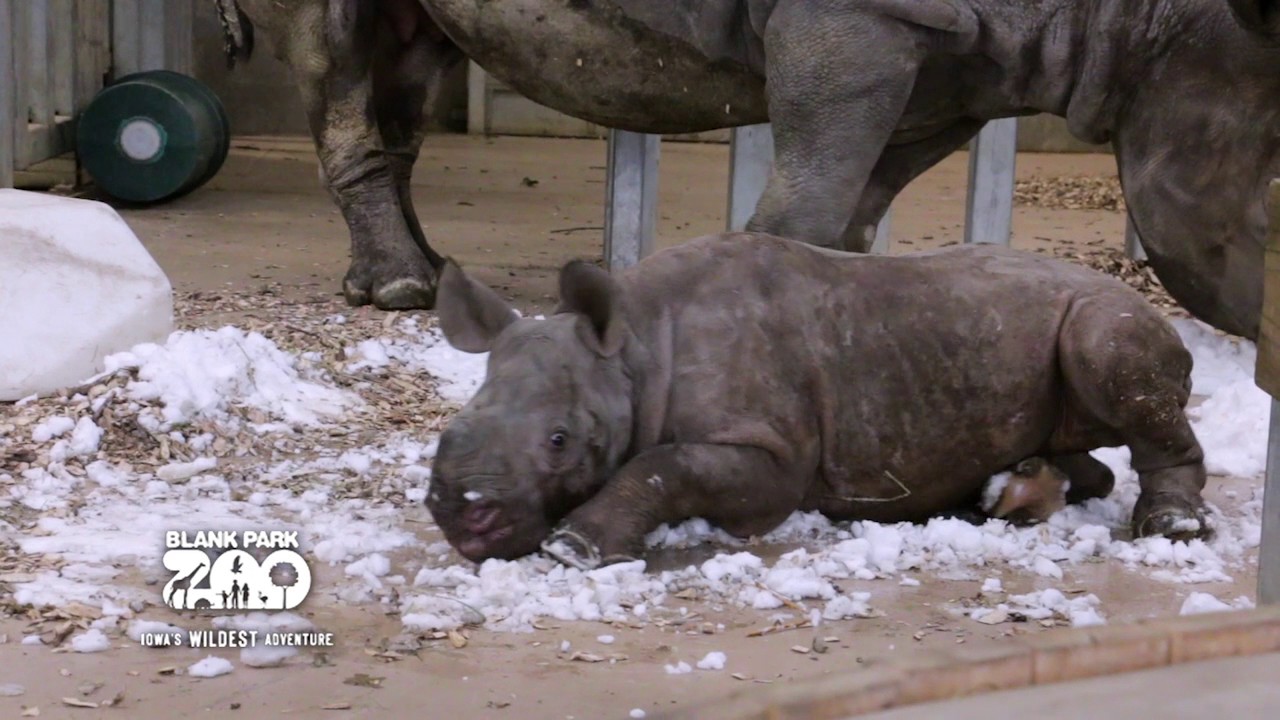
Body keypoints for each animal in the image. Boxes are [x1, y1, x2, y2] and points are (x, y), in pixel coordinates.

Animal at [222, 0, 1280, 338]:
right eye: (1274, 198)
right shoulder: (858, 23)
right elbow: (816, 198)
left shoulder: (955, 68)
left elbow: (858, 204)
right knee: (337, 59)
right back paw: (402, 292)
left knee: (409, 61)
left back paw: (424, 275)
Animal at [422, 229, 1208, 566]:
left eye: (559, 441)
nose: (461, 515)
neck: (638, 349)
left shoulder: (774, 461)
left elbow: (665, 465)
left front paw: (574, 547)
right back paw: (1002, 495)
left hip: (1109, 311)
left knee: (1114, 359)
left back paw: (1172, 530)